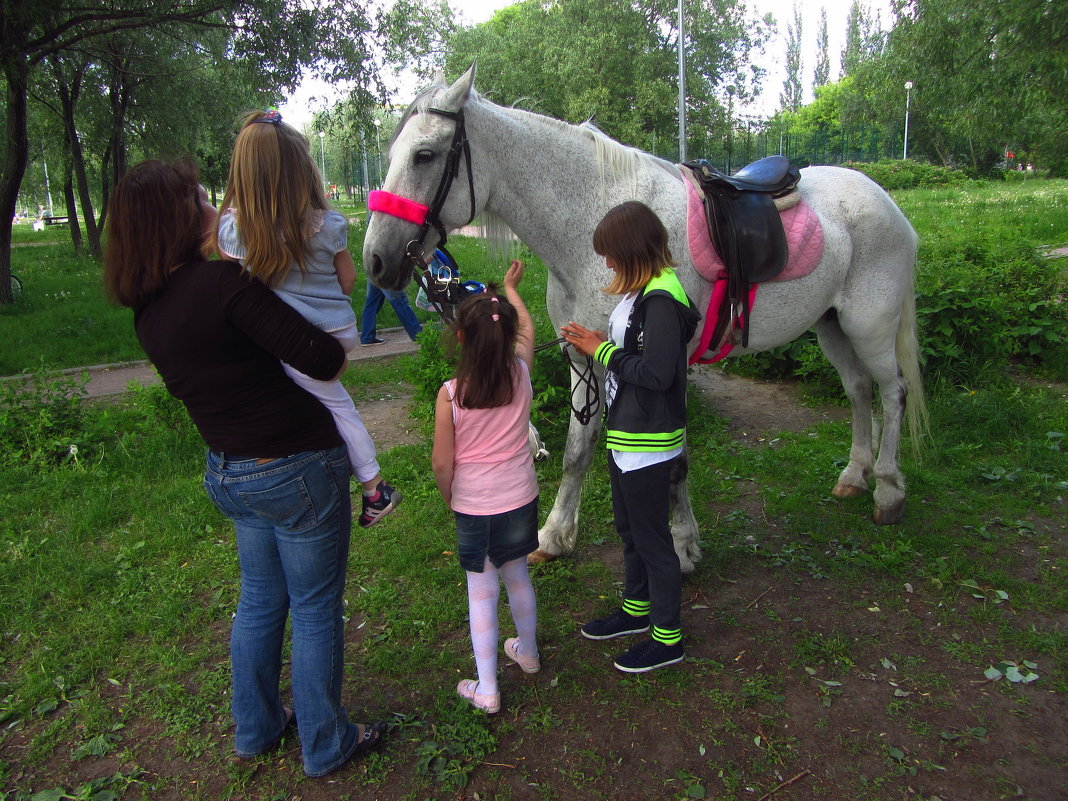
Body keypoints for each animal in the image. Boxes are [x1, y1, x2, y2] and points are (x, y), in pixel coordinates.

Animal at [363, 67, 922, 572]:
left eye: (424, 155)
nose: (376, 261)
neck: (596, 226)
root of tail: (886, 200)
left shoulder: (666, 365)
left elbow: (672, 461)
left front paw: (682, 545)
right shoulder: (582, 356)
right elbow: (577, 451)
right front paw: (555, 535)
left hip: (869, 327)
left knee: (892, 394)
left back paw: (889, 492)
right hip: (831, 326)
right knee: (859, 392)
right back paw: (854, 476)